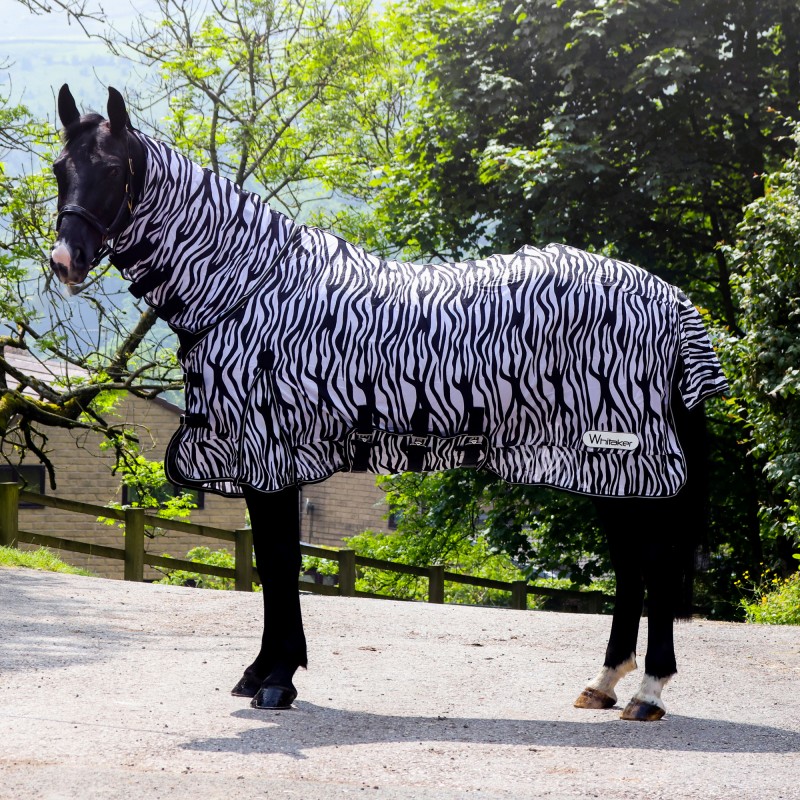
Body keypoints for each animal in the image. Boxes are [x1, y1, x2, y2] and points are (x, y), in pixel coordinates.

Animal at [51, 85, 727, 721]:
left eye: (111, 169)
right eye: (60, 168)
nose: (65, 260)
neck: (250, 287)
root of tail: (674, 303)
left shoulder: (271, 457)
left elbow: (279, 562)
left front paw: (277, 678)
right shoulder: (263, 462)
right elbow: (272, 563)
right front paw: (263, 671)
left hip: (631, 459)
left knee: (655, 565)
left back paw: (649, 691)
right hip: (610, 469)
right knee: (632, 568)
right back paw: (605, 683)